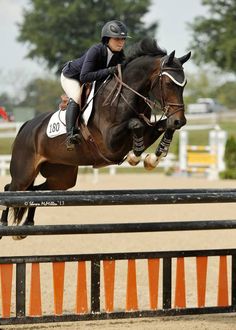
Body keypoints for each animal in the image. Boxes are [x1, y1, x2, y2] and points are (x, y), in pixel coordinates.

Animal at [0, 36, 191, 235]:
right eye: (168, 84)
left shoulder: (146, 128)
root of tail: (26, 126)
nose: (180, 121)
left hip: (61, 176)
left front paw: (154, 156)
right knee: (11, 189)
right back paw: (4, 223)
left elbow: (163, 126)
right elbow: (135, 124)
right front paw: (135, 155)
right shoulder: (110, 142)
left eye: (184, 85)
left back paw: (28, 223)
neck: (126, 96)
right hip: (24, 173)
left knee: (37, 192)